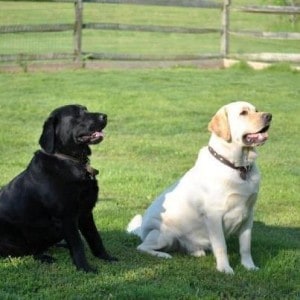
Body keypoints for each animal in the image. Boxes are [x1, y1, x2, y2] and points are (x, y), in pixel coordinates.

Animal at [0, 105, 116, 272]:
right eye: (77, 113)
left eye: (86, 109)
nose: (104, 116)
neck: (71, 161)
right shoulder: (67, 217)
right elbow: (78, 245)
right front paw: (85, 268)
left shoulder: (86, 213)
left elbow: (95, 238)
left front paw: (106, 257)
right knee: (27, 252)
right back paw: (45, 257)